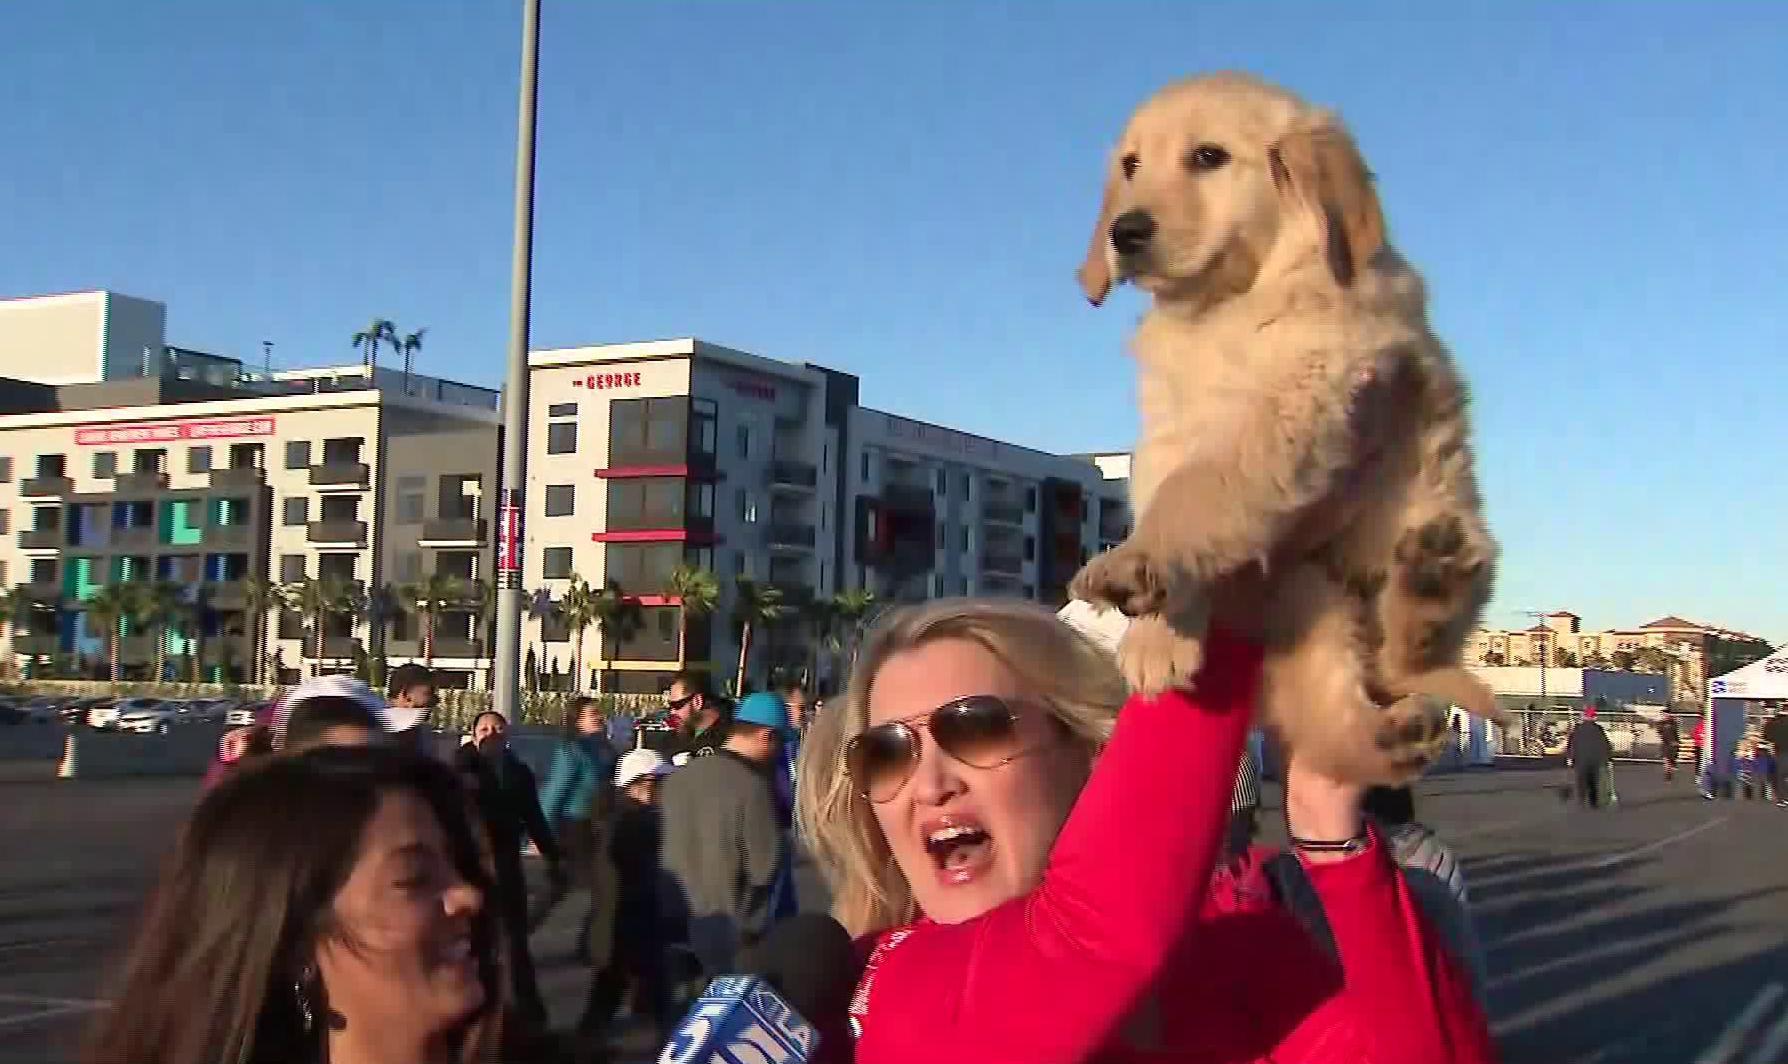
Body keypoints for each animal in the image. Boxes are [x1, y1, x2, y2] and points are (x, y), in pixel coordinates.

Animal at [1065, 68, 1501, 783]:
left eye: (1207, 156)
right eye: (1130, 165)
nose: (1124, 233)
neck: (1226, 305)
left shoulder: (1303, 391)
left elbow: (1200, 490)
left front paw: (1139, 566)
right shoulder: (1167, 428)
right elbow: (1168, 490)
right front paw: (1159, 633)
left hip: (1442, 513)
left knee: (1410, 659)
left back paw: (1432, 587)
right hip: (1309, 601)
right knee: (1342, 716)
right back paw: (1393, 734)